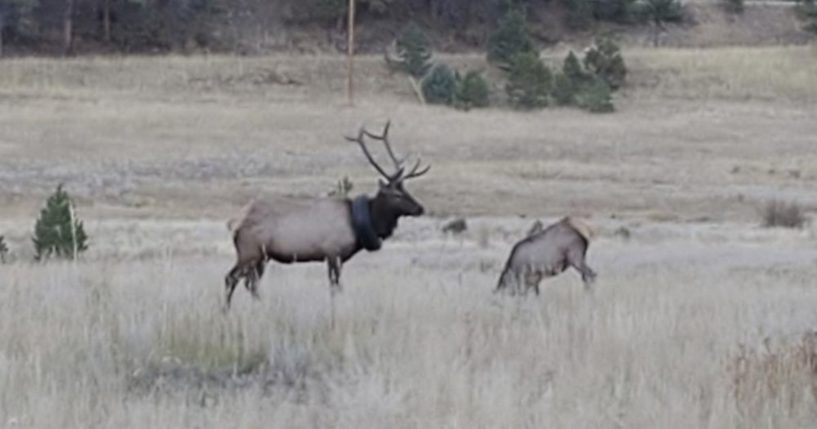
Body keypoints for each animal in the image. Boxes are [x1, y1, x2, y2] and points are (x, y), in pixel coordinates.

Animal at [223, 122, 428, 310]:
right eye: (396, 195)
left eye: (406, 190)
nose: (420, 208)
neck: (357, 225)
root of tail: (234, 222)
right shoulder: (333, 251)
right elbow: (336, 288)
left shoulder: (336, 257)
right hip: (250, 251)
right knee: (231, 278)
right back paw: (226, 311)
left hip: (261, 257)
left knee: (251, 284)